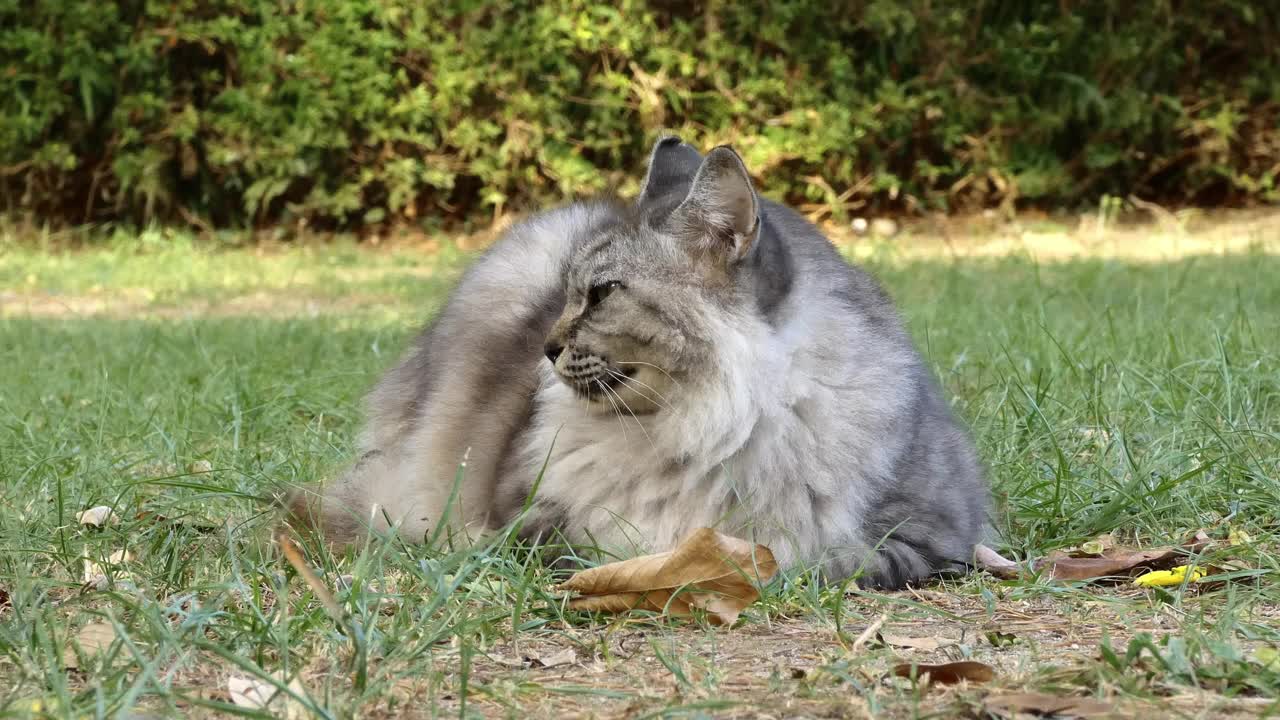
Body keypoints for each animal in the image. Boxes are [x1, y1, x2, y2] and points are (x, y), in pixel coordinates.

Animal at [288, 137, 988, 586]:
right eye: (566, 292)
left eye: (599, 295)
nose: (545, 347)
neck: (699, 429)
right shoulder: (526, 518)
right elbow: (576, 547)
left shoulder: (929, 537)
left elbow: (810, 561)